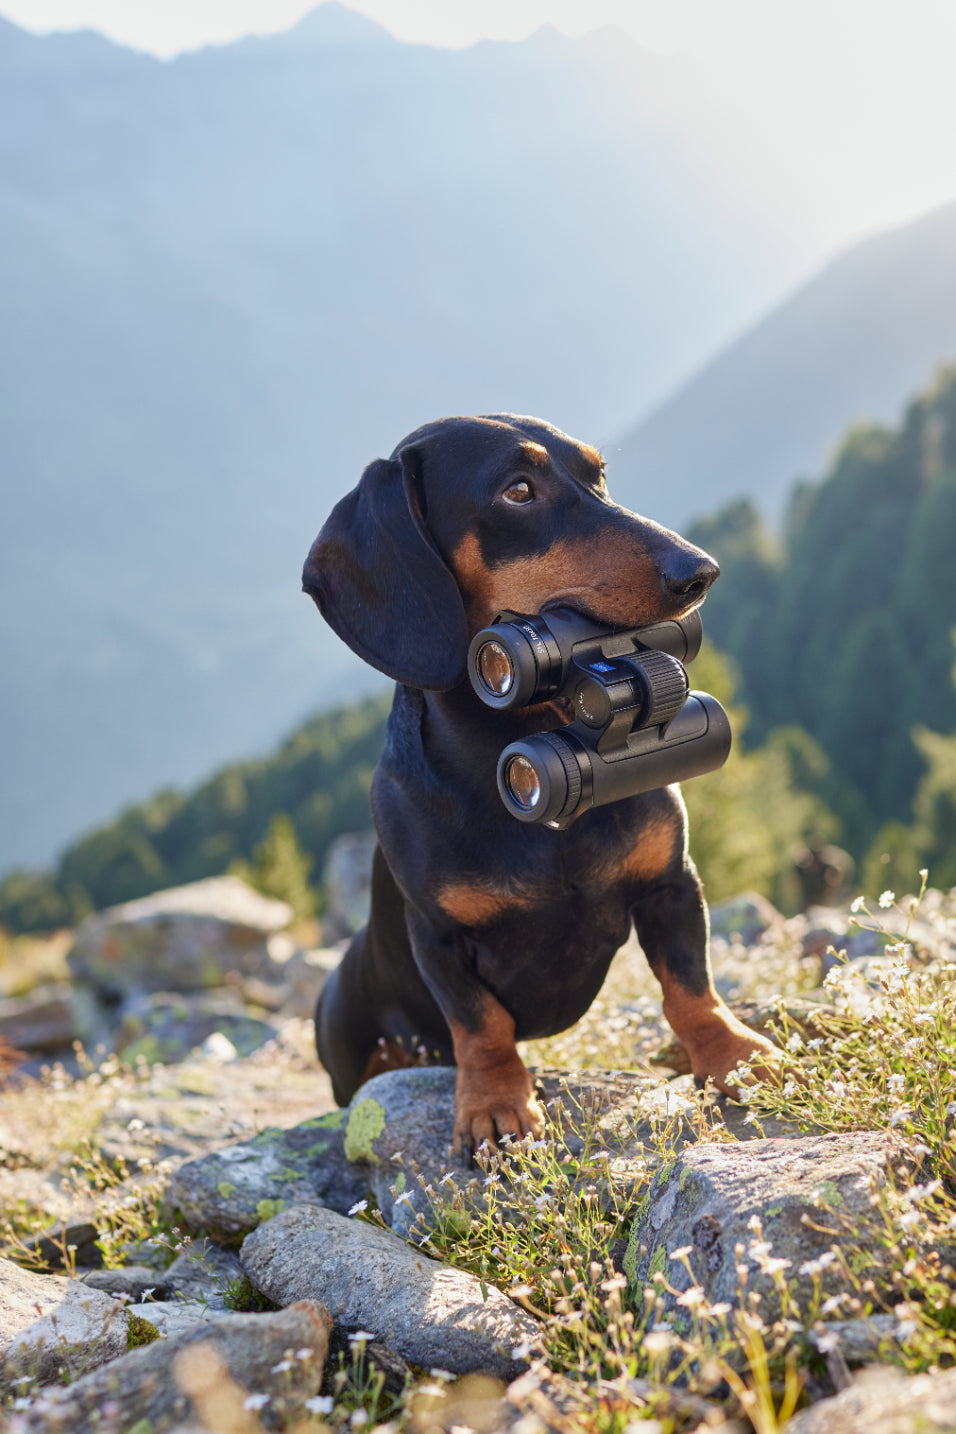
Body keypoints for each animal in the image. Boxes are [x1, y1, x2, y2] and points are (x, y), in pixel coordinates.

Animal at [302, 412, 779, 1152]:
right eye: (518, 490)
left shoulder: (672, 884)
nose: (700, 571)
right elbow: (480, 1024)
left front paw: (731, 1054)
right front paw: (496, 1104)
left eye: (599, 473)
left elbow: (689, 986)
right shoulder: (437, 936)